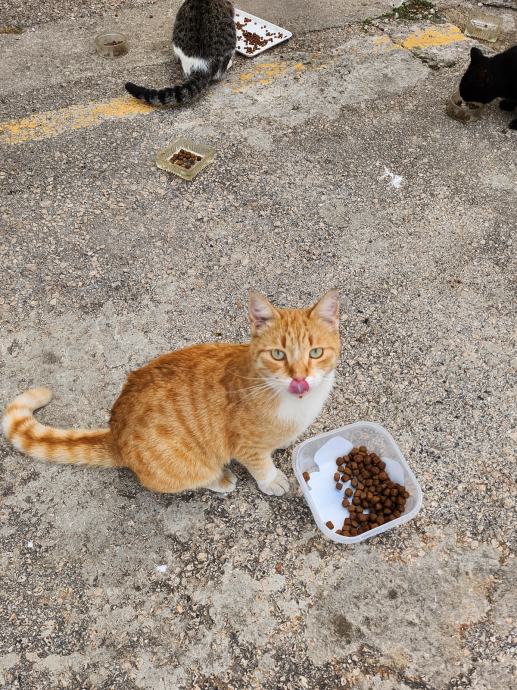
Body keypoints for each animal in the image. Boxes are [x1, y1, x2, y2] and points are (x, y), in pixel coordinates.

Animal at [3, 292, 340, 497]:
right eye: (278, 355)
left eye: (316, 352)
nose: (299, 377)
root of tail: (115, 434)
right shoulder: (246, 446)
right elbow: (260, 464)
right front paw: (271, 479)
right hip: (186, 465)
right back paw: (220, 479)